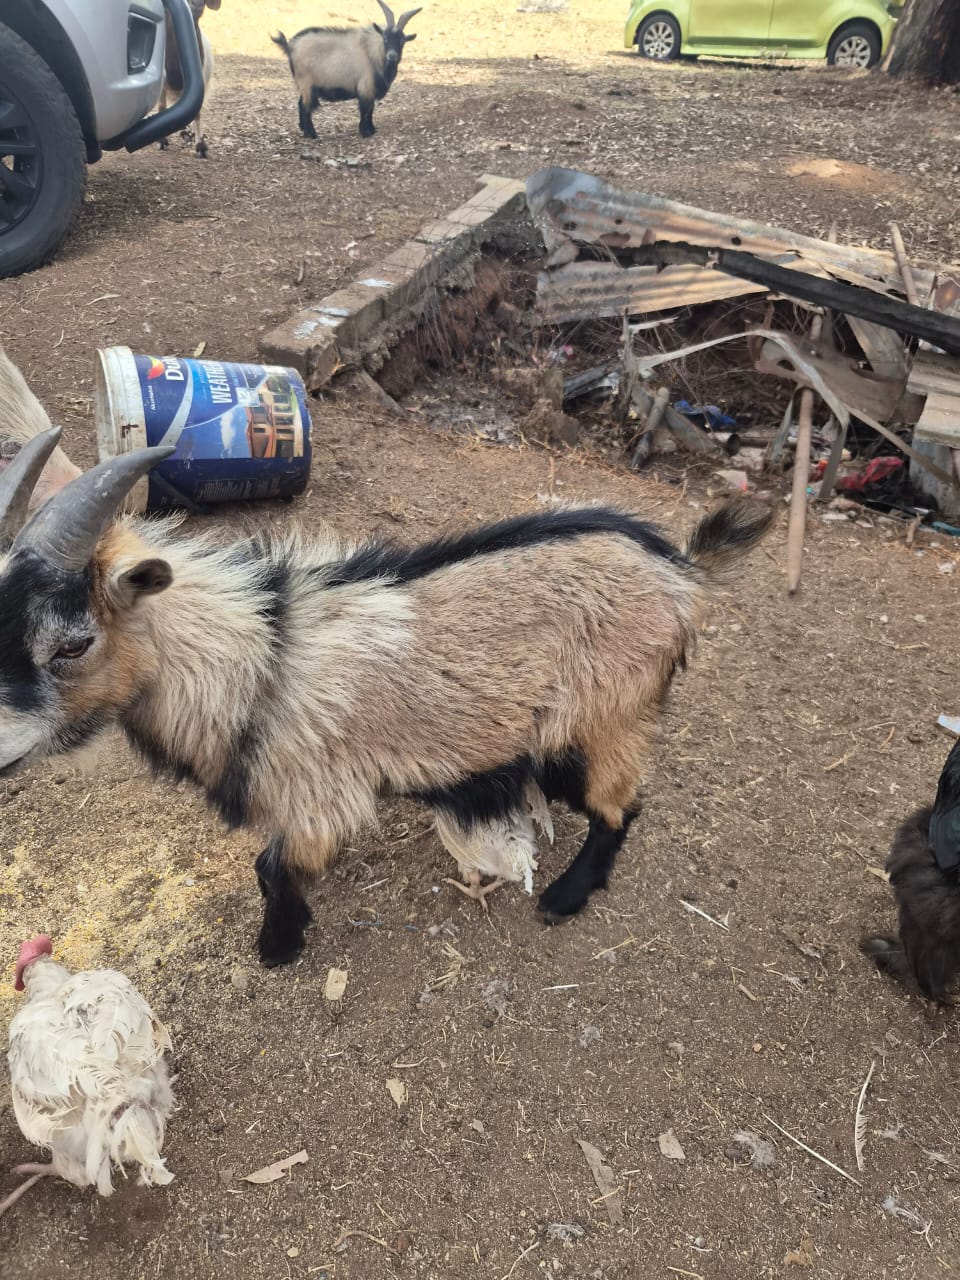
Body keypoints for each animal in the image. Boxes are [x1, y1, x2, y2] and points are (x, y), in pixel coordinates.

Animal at [0, 429, 774, 969]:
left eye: (73, 644)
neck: (263, 660)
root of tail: (682, 570)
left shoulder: (317, 795)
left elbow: (270, 868)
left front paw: (279, 946)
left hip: (603, 719)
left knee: (620, 807)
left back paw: (564, 898)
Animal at [159, 0, 219, 158]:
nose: (196, 6)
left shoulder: (200, 81)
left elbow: (196, 111)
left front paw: (201, 147)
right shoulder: (163, 84)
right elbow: (162, 108)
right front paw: (162, 141)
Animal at [272, 0, 421, 140]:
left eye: (402, 41)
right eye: (385, 39)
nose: (392, 56)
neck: (373, 54)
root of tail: (290, 46)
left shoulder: (371, 90)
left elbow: (371, 110)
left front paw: (372, 130)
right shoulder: (366, 87)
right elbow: (365, 110)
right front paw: (365, 132)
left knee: (300, 104)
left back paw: (303, 129)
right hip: (306, 83)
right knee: (305, 107)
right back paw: (311, 134)